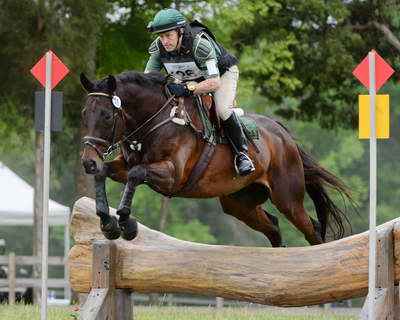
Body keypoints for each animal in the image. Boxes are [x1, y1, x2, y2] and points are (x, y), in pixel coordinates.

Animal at [79, 70, 352, 248]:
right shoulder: (126, 166)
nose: (87, 162)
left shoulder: (172, 174)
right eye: (84, 113)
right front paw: (108, 223)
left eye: (106, 116)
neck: (156, 121)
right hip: (239, 202)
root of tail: (282, 134)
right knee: (274, 226)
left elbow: (136, 176)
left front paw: (127, 224)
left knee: (312, 229)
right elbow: (106, 172)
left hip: (288, 198)